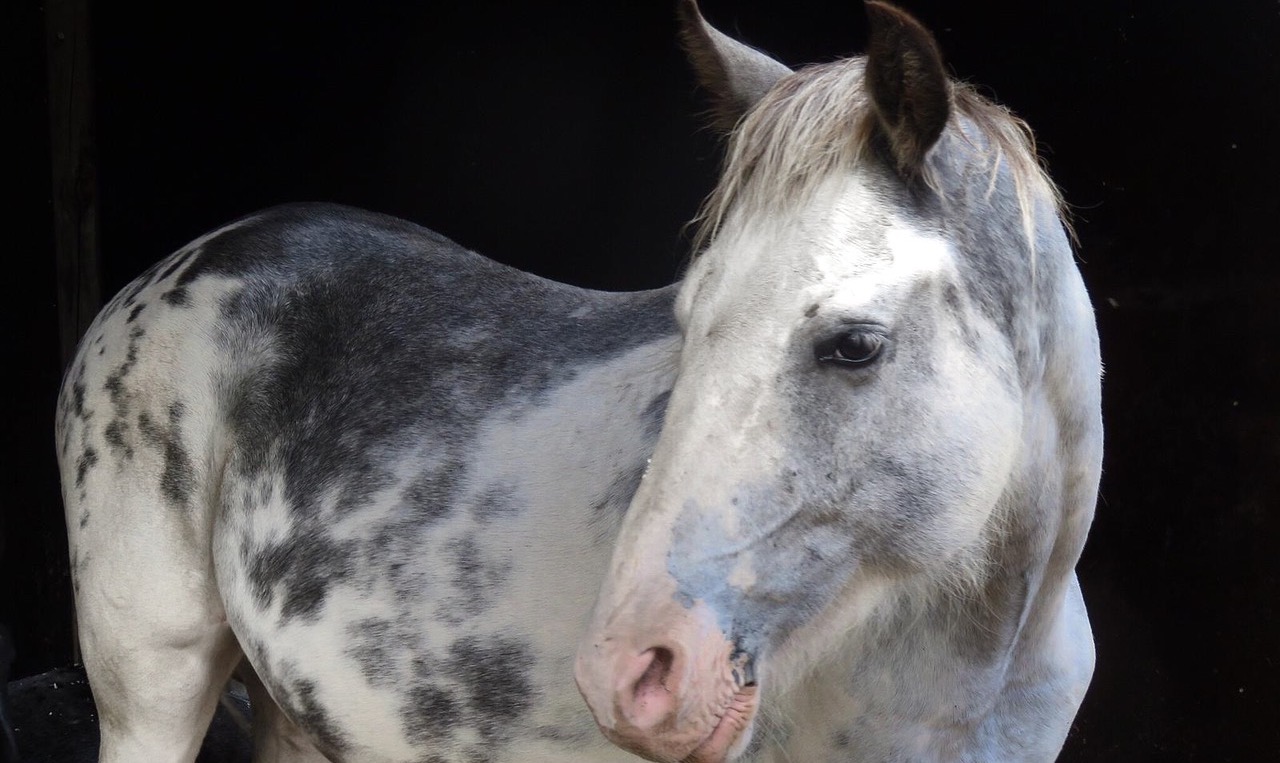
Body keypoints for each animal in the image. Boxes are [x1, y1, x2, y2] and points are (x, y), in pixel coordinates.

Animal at [57, 2, 1100, 757]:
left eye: (854, 344)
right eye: (686, 320)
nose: (625, 672)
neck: (966, 678)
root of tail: (196, 258)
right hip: (149, 693)